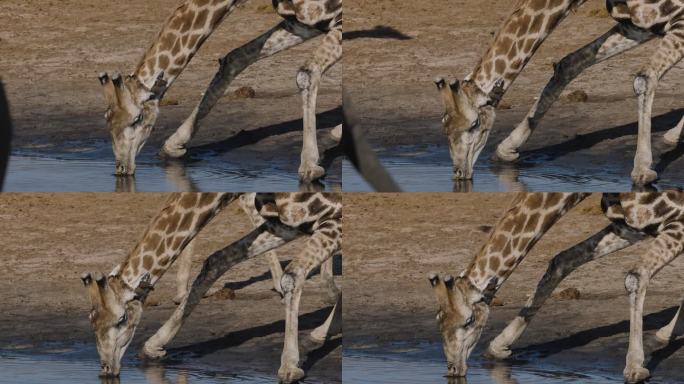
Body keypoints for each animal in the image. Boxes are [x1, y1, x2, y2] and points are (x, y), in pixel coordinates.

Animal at [80, 194, 342, 382]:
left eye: (121, 319)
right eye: (91, 321)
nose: (106, 369)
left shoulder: (330, 215)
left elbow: (293, 275)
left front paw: (289, 367)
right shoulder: (288, 224)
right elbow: (216, 260)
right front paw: (154, 345)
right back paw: (322, 327)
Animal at [99, 0, 342, 183]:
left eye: (137, 119)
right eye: (106, 119)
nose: (122, 169)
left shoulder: (333, 15)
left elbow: (307, 73)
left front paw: (310, 166)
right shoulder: (303, 22)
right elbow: (234, 57)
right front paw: (174, 145)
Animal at [430, 194, 684, 382]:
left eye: (469, 321)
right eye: (438, 321)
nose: (453, 369)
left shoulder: (675, 219)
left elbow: (635, 276)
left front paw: (634, 366)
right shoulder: (630, 226)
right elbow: (561, 260)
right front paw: (499, 345)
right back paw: (664, 333)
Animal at [438, 0, 684, 186]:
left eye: (474, 124)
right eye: (444, 125)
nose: (459, 173)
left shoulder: (677, 20)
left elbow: (644, 78)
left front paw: (642, 169)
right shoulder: (637, 26)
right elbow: (568, 64)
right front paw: (507, 149)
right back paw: (674, 134)